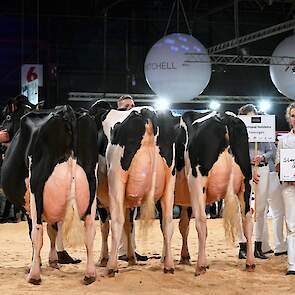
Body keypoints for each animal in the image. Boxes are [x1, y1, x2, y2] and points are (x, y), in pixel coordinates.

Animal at [0, 106, 99, 284]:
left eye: (7, 117)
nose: (2, 131)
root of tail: (67, 110)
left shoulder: (30, 205)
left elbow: (36, 233)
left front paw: (37, 262)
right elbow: (54, 229)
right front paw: (54, 260)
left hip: (36, 188)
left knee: (37, 232)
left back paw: (34, 275)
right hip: (92, 184)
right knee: (89, 230)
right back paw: (90, 274)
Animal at [90, 103, 177, 276]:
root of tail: (147, 112)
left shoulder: (101, 200)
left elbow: (105, 227)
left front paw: (103, 259)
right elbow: (129, 225)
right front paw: (131, 258)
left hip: (116, 178)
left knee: (117, 221)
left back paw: (111, 266)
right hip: (169, 182)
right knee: (167, 222)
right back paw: (168, 264)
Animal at [175, 111, 256, 278]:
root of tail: (224, 117)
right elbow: (183, 225)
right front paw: (184, 257)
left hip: (197, 182)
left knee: (201, 222)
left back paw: (200, 266)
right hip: (246, 182)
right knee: (248, 221)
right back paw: (250, 263)